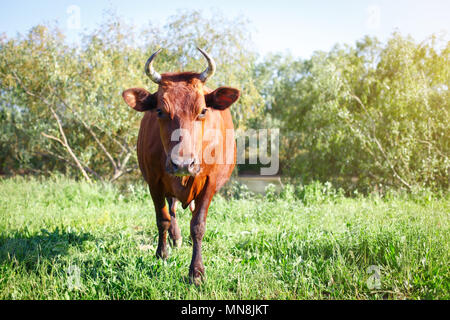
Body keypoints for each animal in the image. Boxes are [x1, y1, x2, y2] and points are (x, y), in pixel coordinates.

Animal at [119, 48, 239, 284]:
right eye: (159, 111)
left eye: (203, 111)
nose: (183, 163)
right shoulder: (154, 182)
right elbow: (162, 219)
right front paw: (161, 253)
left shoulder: (210, 183)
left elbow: (198, 225)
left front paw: (197, 271)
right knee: (172, 208)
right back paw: (176, 238)